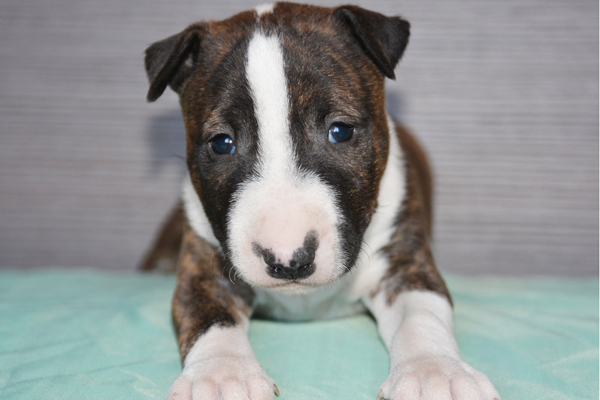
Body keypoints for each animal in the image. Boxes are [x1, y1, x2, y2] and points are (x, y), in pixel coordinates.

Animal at [143, 3, 500, 400]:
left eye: (340, 131)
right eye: (222, 143)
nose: (288, 261)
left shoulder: (405, 263)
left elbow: (423, 313)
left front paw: (435, 373)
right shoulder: (204, 264)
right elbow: (208, 315)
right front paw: (222, 375)